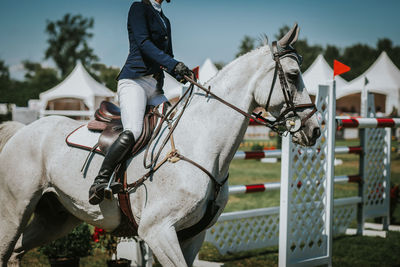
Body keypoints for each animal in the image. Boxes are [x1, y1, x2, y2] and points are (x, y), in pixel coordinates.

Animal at [0, 24, 318, 266]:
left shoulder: (192, 235)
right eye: (293, 76)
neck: (202, 145)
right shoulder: (158, 231)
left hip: (57, 217)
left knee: (16, 253)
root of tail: (23, 131)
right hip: (15, 210)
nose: (314, 129)